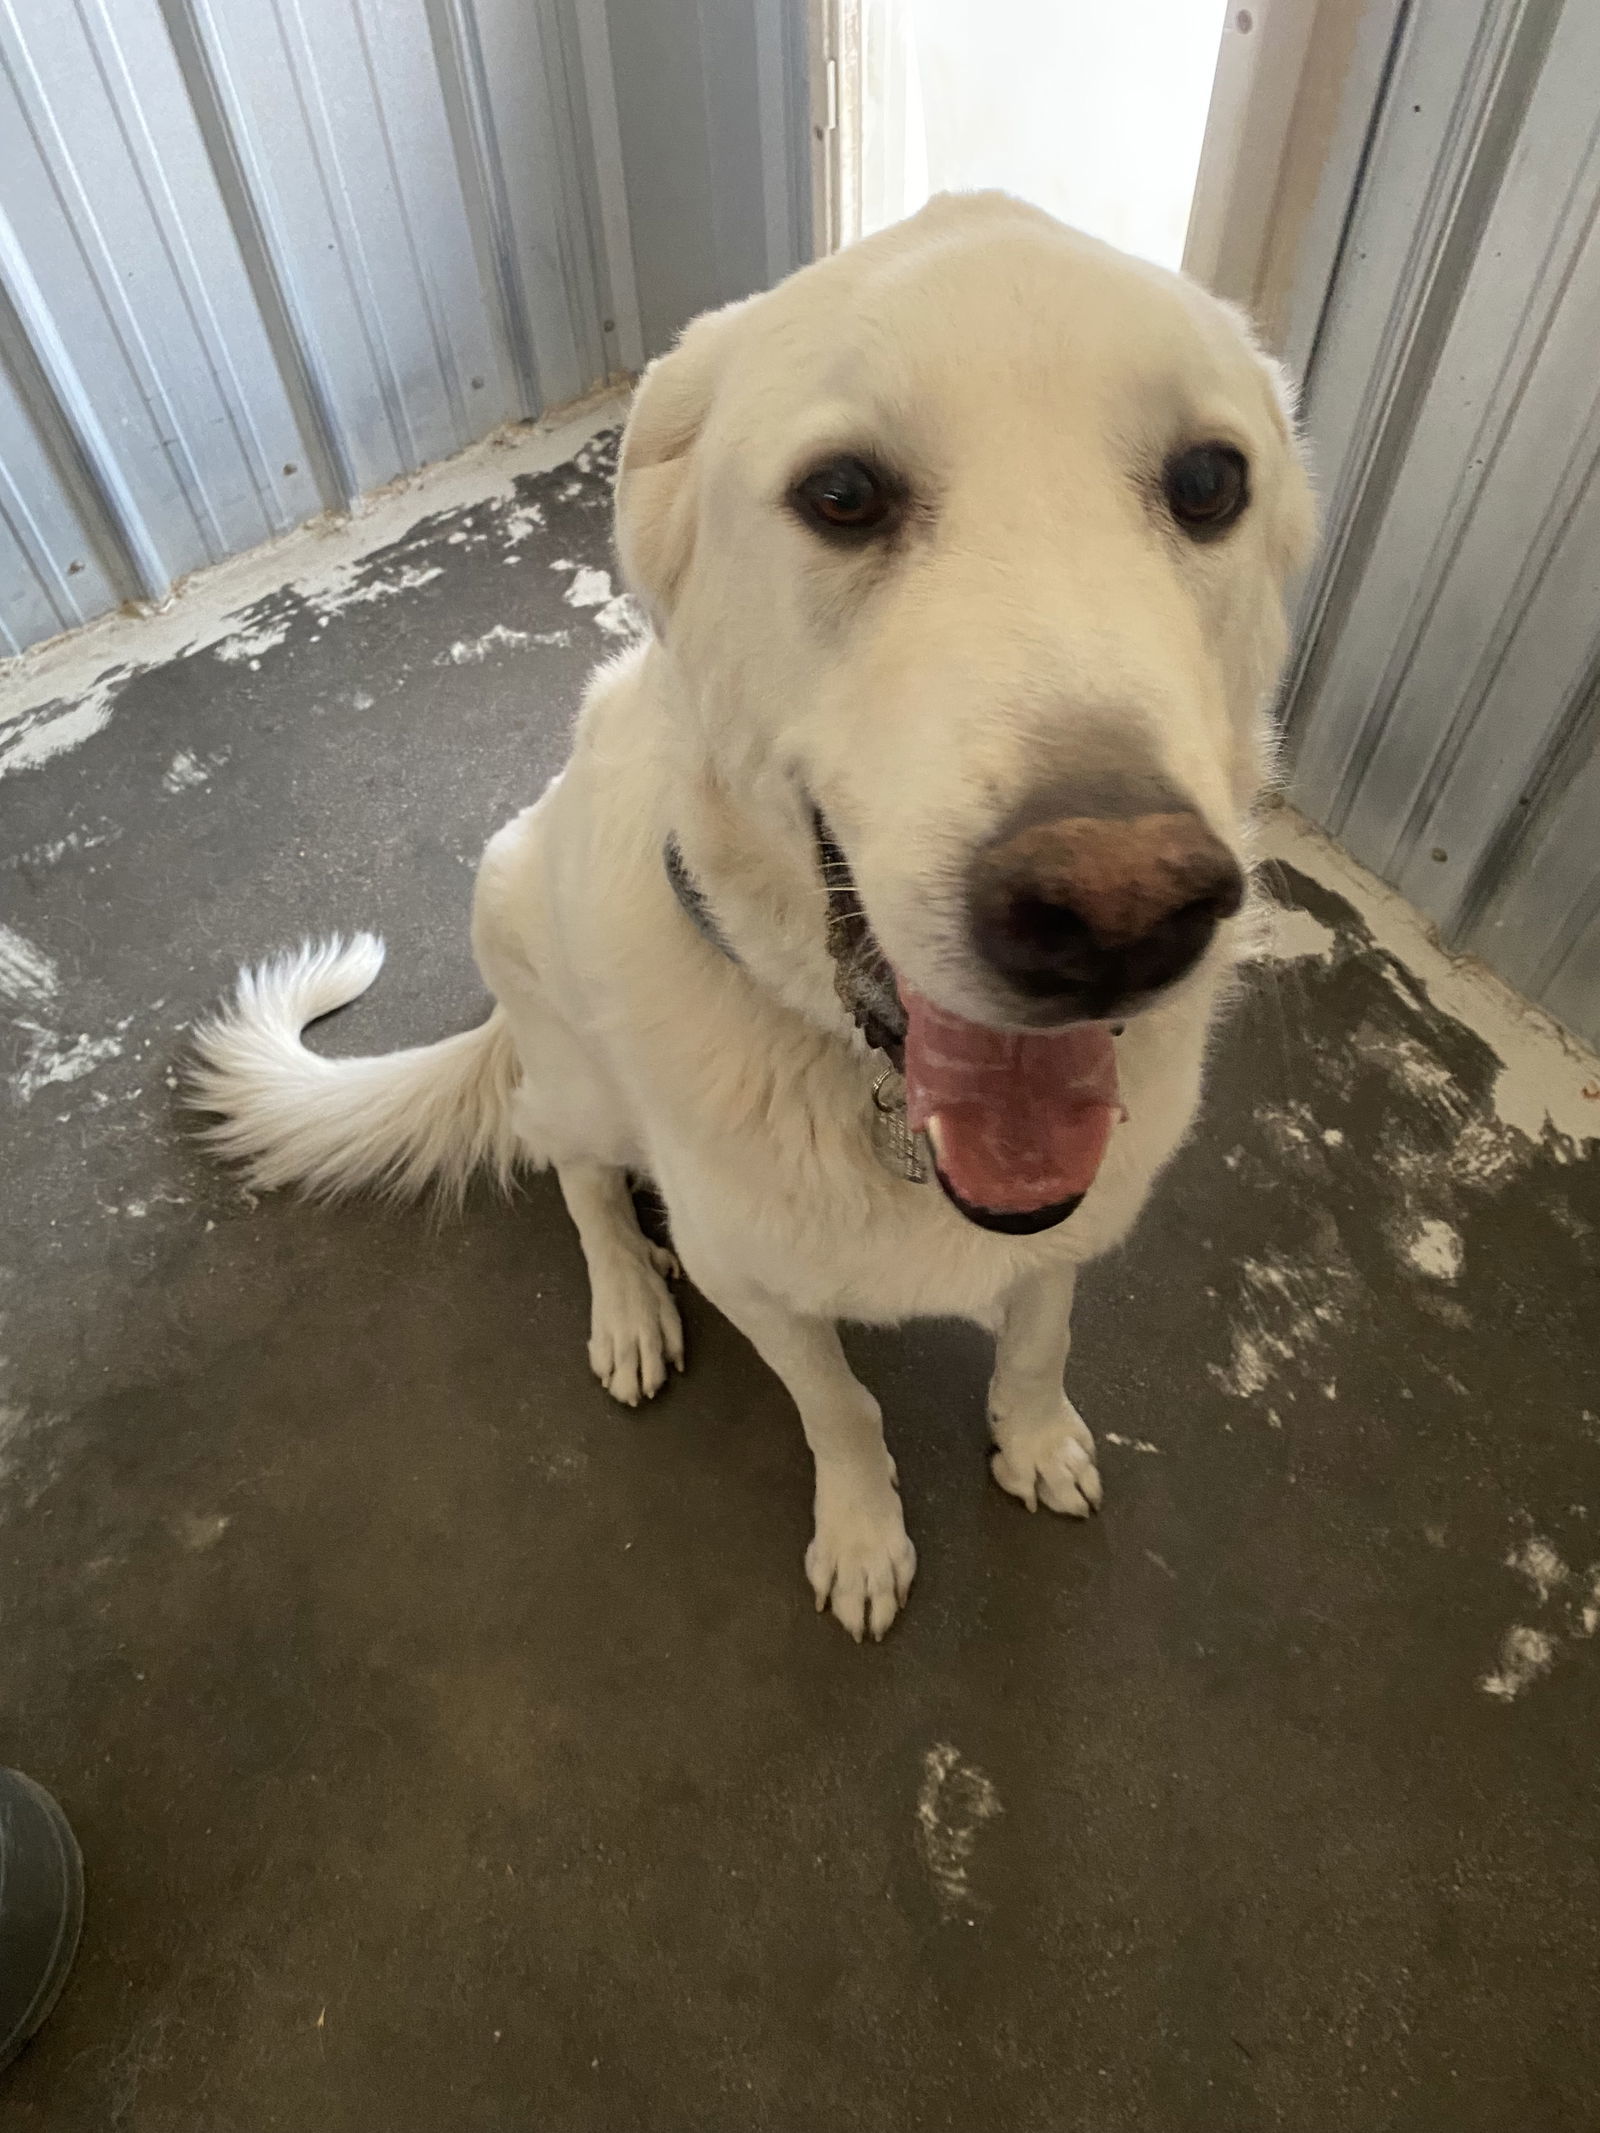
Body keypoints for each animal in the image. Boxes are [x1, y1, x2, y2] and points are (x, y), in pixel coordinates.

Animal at [190, 196, 1314, 1629]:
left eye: (1209, 483)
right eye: (841, 495)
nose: (1121, 912)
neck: (874, 1091)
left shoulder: (1074, 1226)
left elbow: (1039, 1333)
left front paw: (1034, 1438)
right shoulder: (755, 1284)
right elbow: (837, 1408)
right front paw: (863, 1535)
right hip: (559, 1036)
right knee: (572, 1174)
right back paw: (628, 1305)